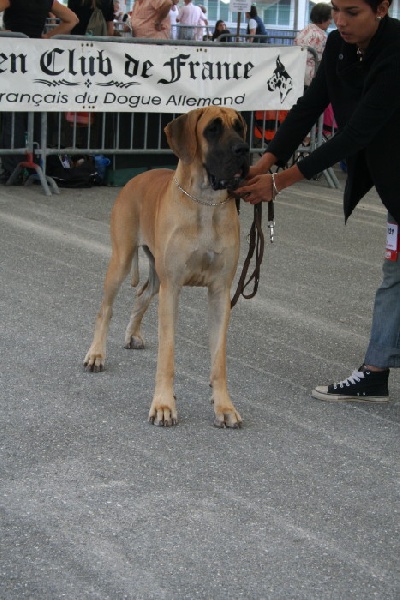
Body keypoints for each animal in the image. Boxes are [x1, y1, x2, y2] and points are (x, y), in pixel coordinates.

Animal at [84, 108, 250, 426]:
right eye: (212, 129)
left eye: (240, 127)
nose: (244, 150)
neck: (205, 203)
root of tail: (136, 177)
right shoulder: (172, 288)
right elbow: (168, 353)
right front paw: (163, 404)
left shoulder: (220, 292)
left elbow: (219, 357)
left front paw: (223, 405)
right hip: (122, 259)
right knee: (105, 309)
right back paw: (96, 354)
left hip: (157, 275)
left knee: (142, 294)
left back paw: (133, 334)